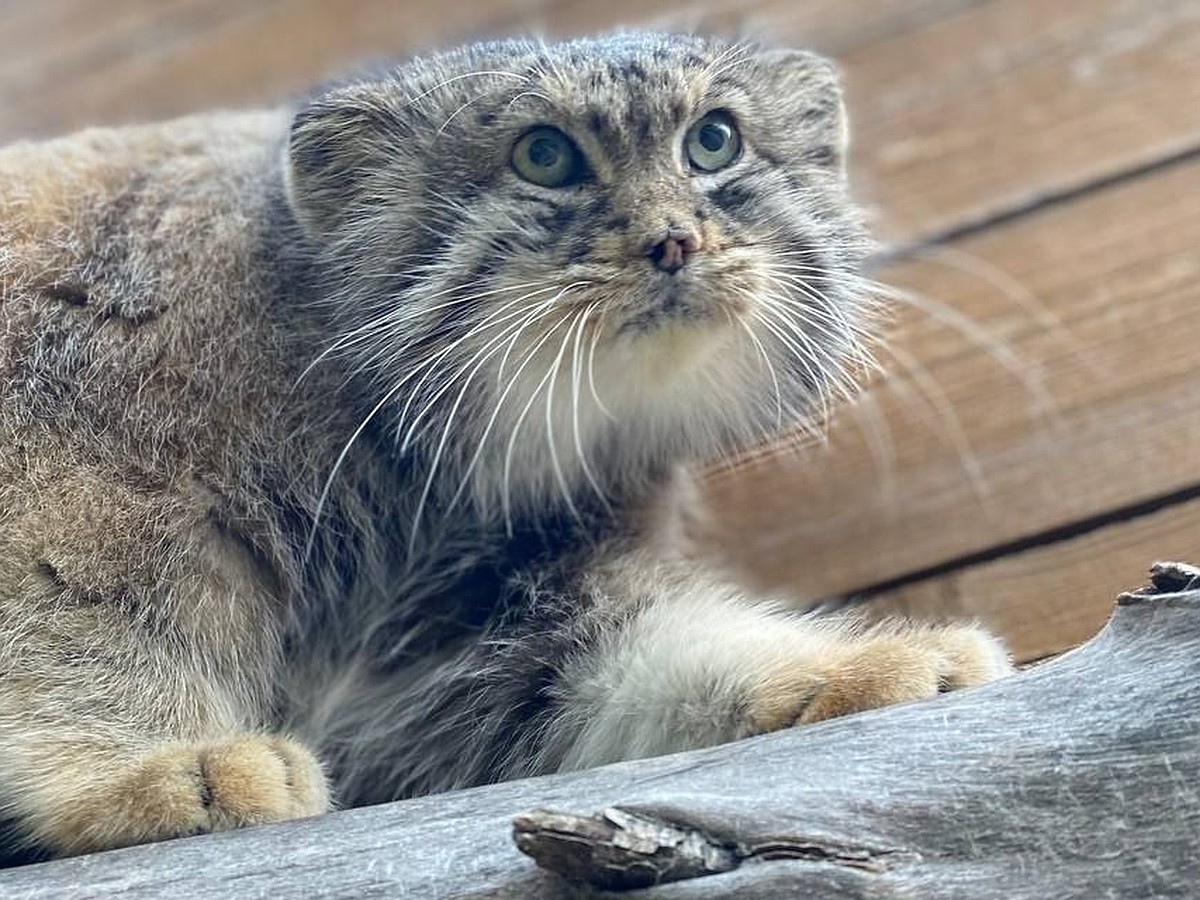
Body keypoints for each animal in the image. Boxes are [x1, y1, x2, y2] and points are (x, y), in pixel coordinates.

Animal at [0, 30, 1012, 859]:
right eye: (545, 155)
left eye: (714, 141)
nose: (675, 241)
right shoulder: (64, 470)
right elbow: (84, 619)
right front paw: (157, 766)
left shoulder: (485, 631)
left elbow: (636, 668)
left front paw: (852, 667)